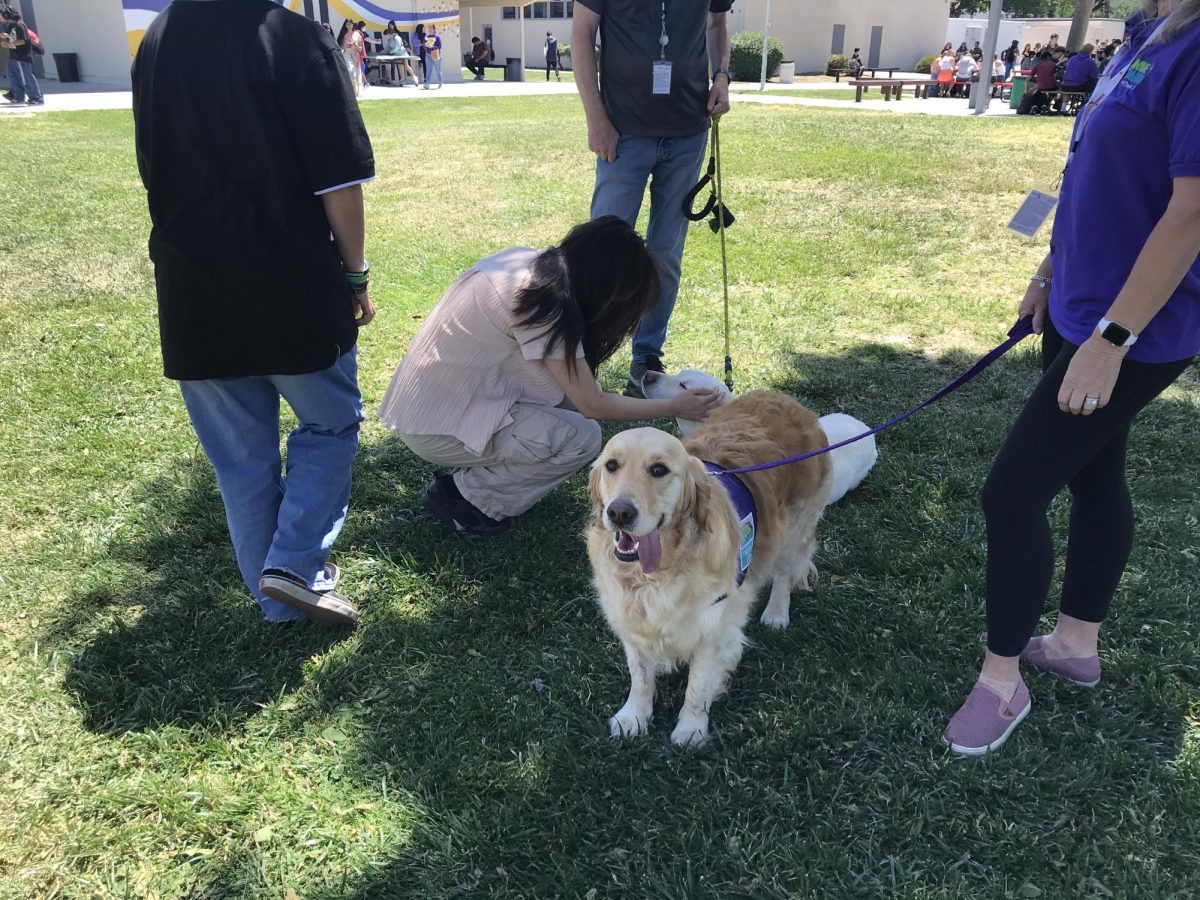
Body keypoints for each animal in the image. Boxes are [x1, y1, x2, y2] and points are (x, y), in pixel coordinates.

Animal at [583, 393, 830, 748]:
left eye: (659, 469)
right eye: (611, 465)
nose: (619, 512)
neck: (656, 574)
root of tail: (786, 399)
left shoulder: (715, 625)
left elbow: (698, 685)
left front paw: (691, 729)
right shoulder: (628, 616)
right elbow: (639, 674)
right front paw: (634, 716)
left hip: (795, 526)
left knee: (785, 572)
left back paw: (776, 614)